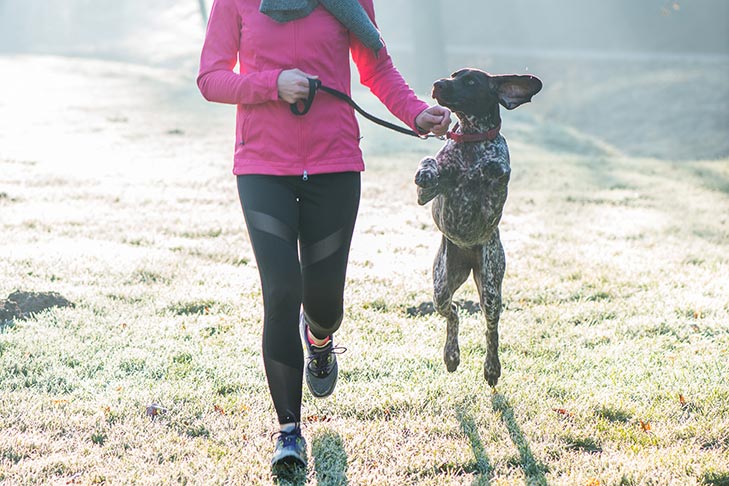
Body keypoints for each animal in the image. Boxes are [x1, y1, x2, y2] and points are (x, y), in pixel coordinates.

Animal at [416, 69, 540, 388]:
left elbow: (496, 171)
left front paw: (490, 168)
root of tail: (469, 260)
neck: (471, 139)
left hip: (491, 289)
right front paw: (427, 169)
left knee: (491, 330)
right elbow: (430, 165)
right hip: (441, 287)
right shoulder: (426, 196)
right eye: (452, 75)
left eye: (470, 81)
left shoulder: (492, 207)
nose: (437, 84)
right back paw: (451, 356)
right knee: (454, 314)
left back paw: (491, 368)